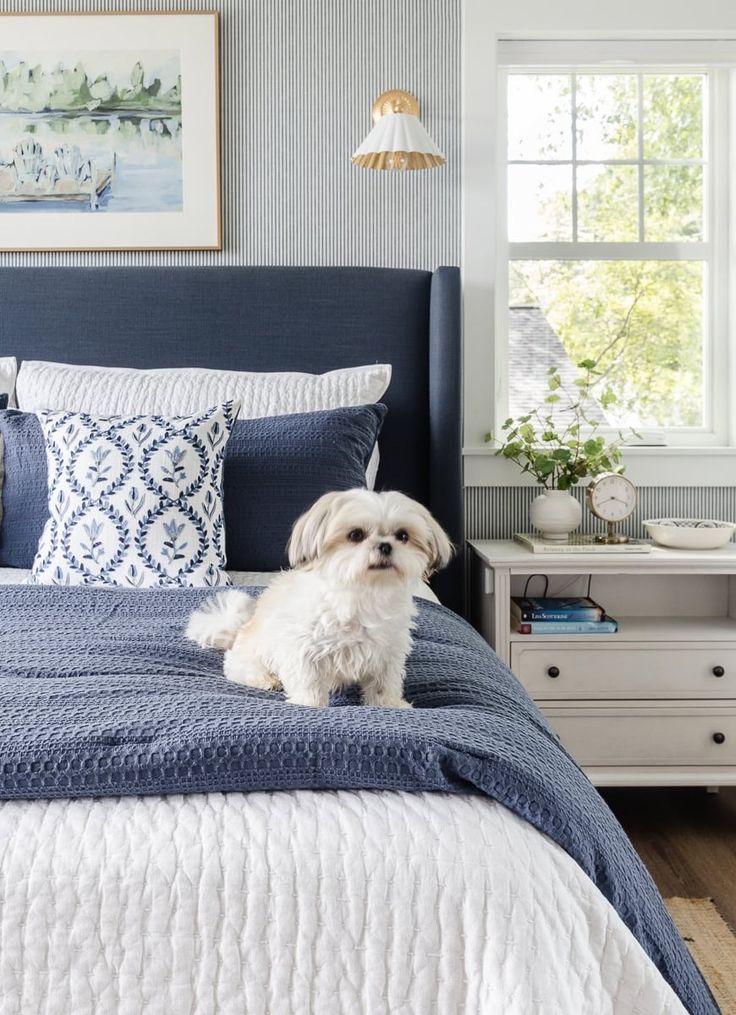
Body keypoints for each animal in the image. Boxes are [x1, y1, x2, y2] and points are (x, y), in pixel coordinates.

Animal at [186, 487, 450, 710]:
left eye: (403, 536)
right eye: (356, 535)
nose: (385, 546)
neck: (362, 593)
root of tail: (237, 630)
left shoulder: (388, 652)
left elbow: (384, 684)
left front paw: (390, 705)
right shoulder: (302, 649)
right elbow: (308, 683)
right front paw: (309, 705)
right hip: (249, 658)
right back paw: (266, 679)